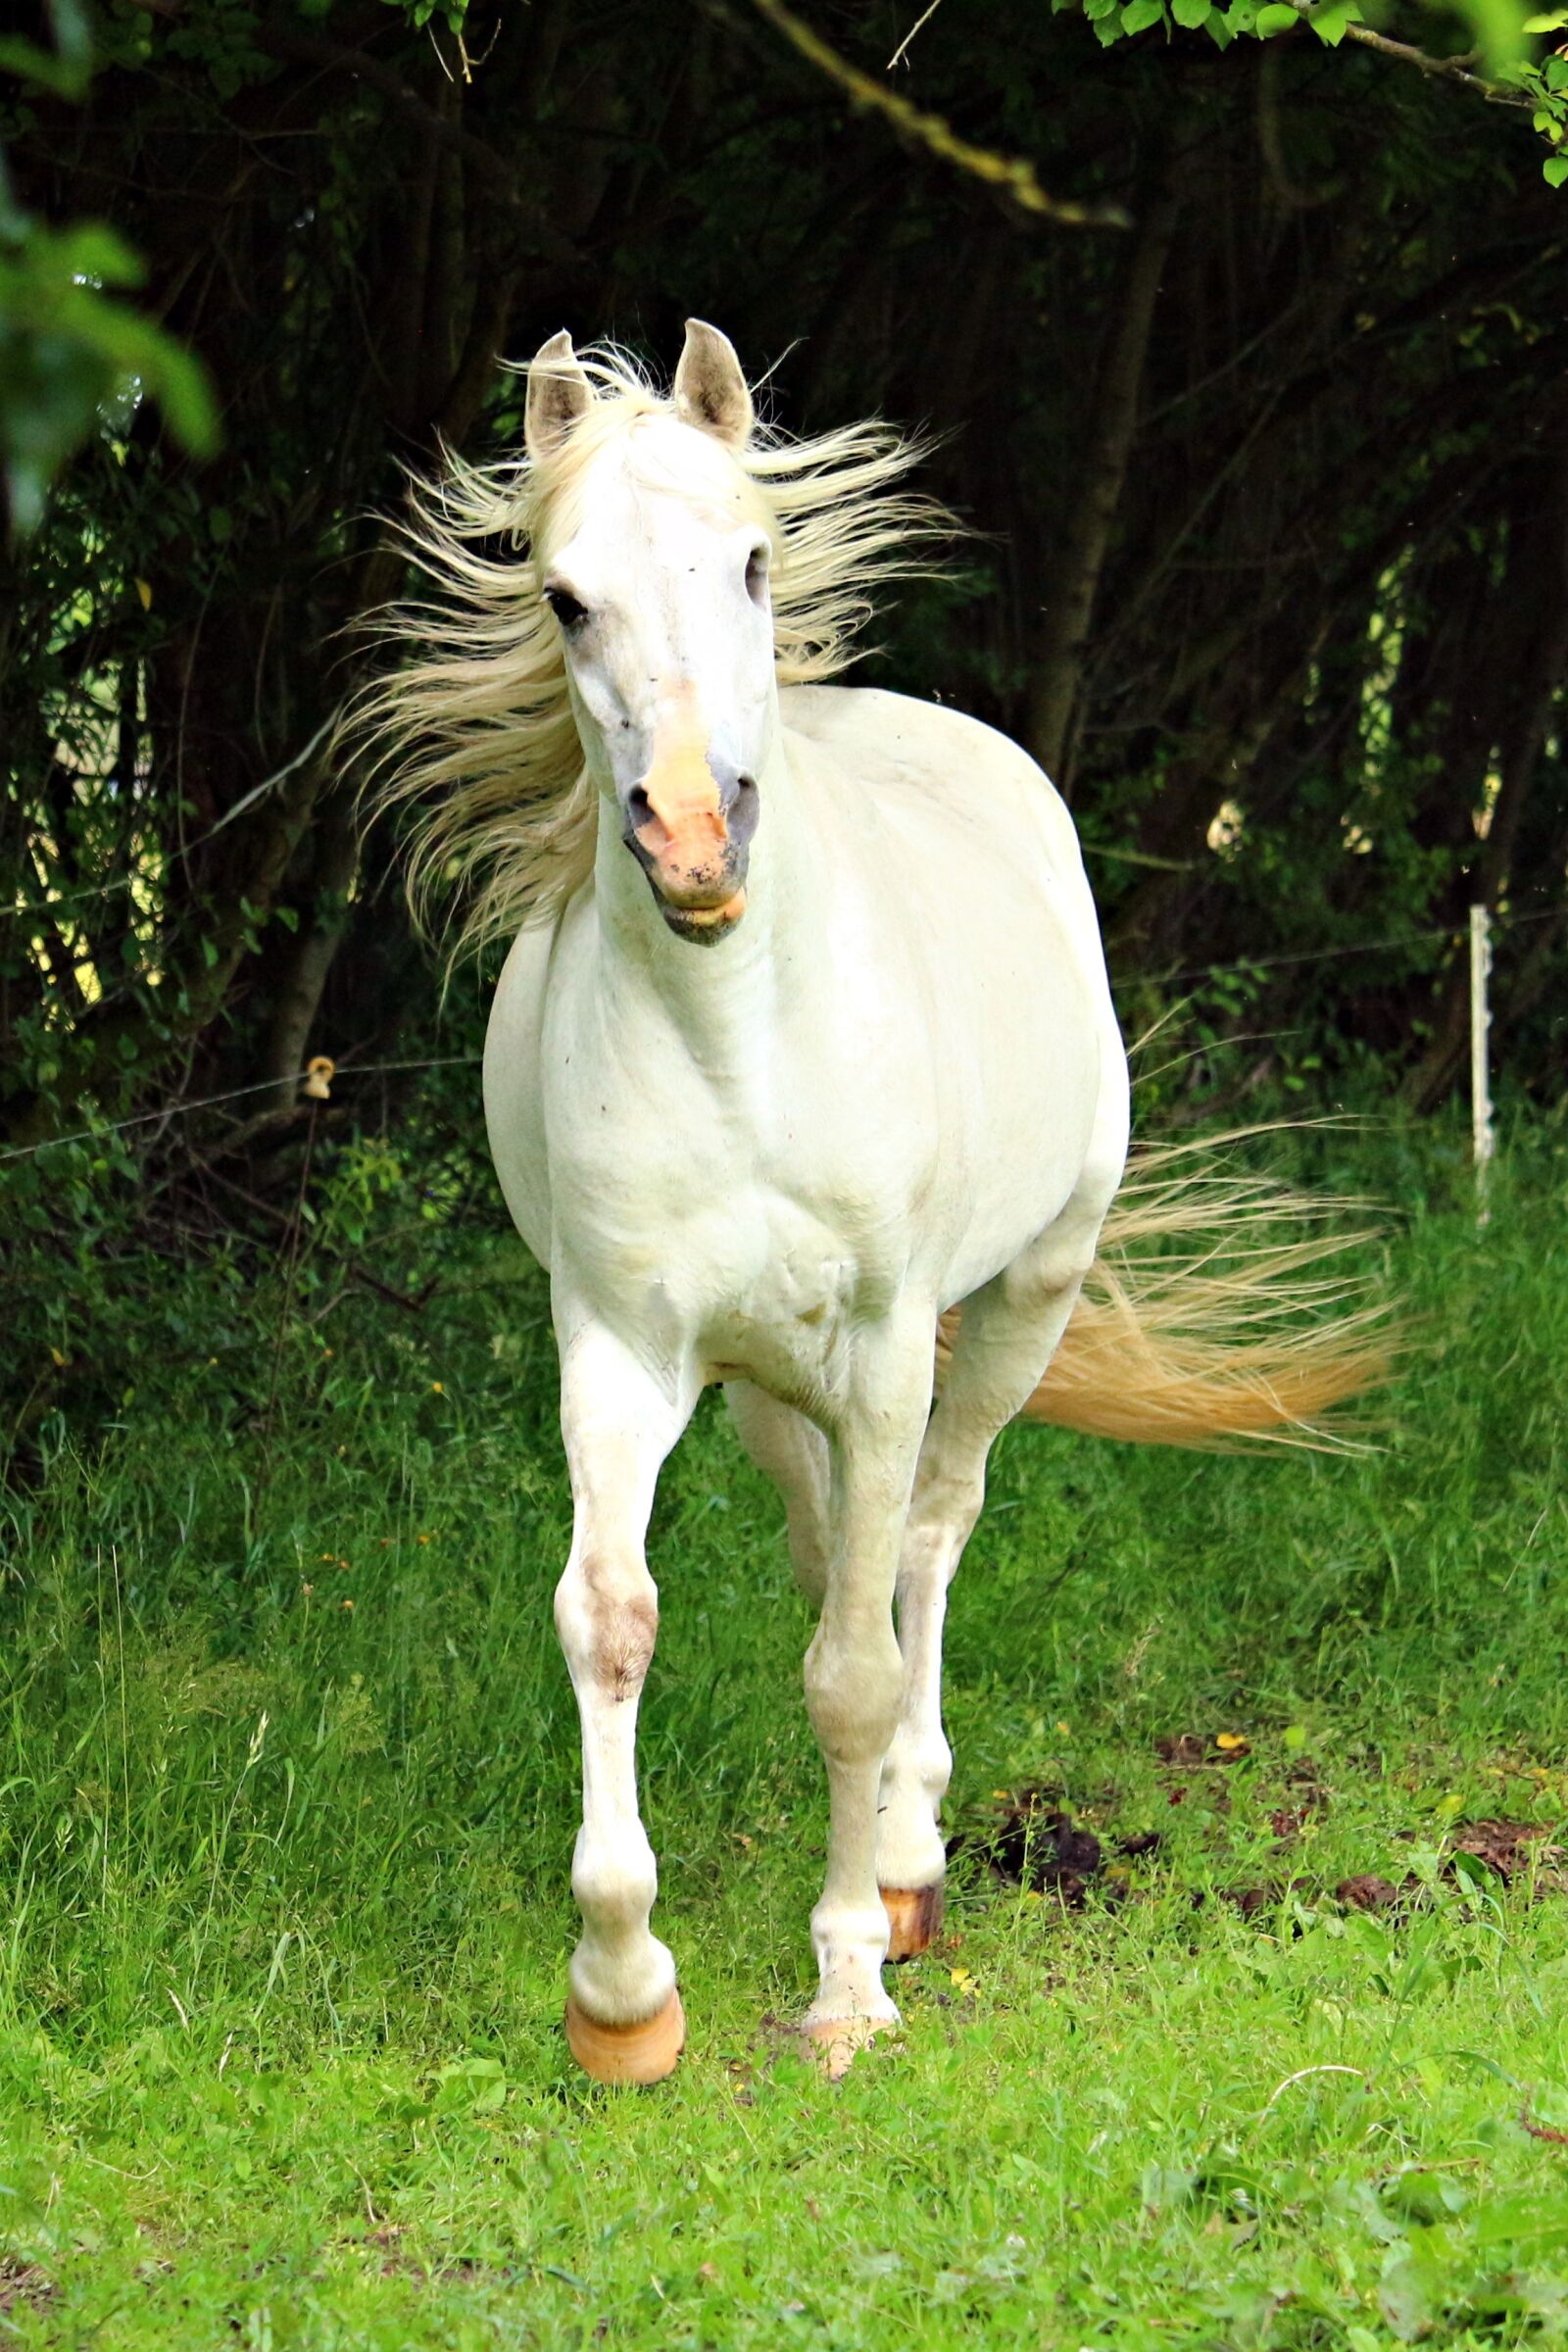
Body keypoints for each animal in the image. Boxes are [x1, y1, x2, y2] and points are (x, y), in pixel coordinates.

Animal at [363, 322, 1384, 2083]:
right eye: (563, 597)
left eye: (754, 562)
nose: (695, 840)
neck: (736, 1035)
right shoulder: (618, 1350)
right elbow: (612, 1618)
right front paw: (622, 1992)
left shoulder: (894, 1341)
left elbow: (854, 1665)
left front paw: (849, 1977)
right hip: (770, 1384)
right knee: (825, 1537)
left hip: (1018, 1307)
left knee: (924, 1538)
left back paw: (909, 1856)